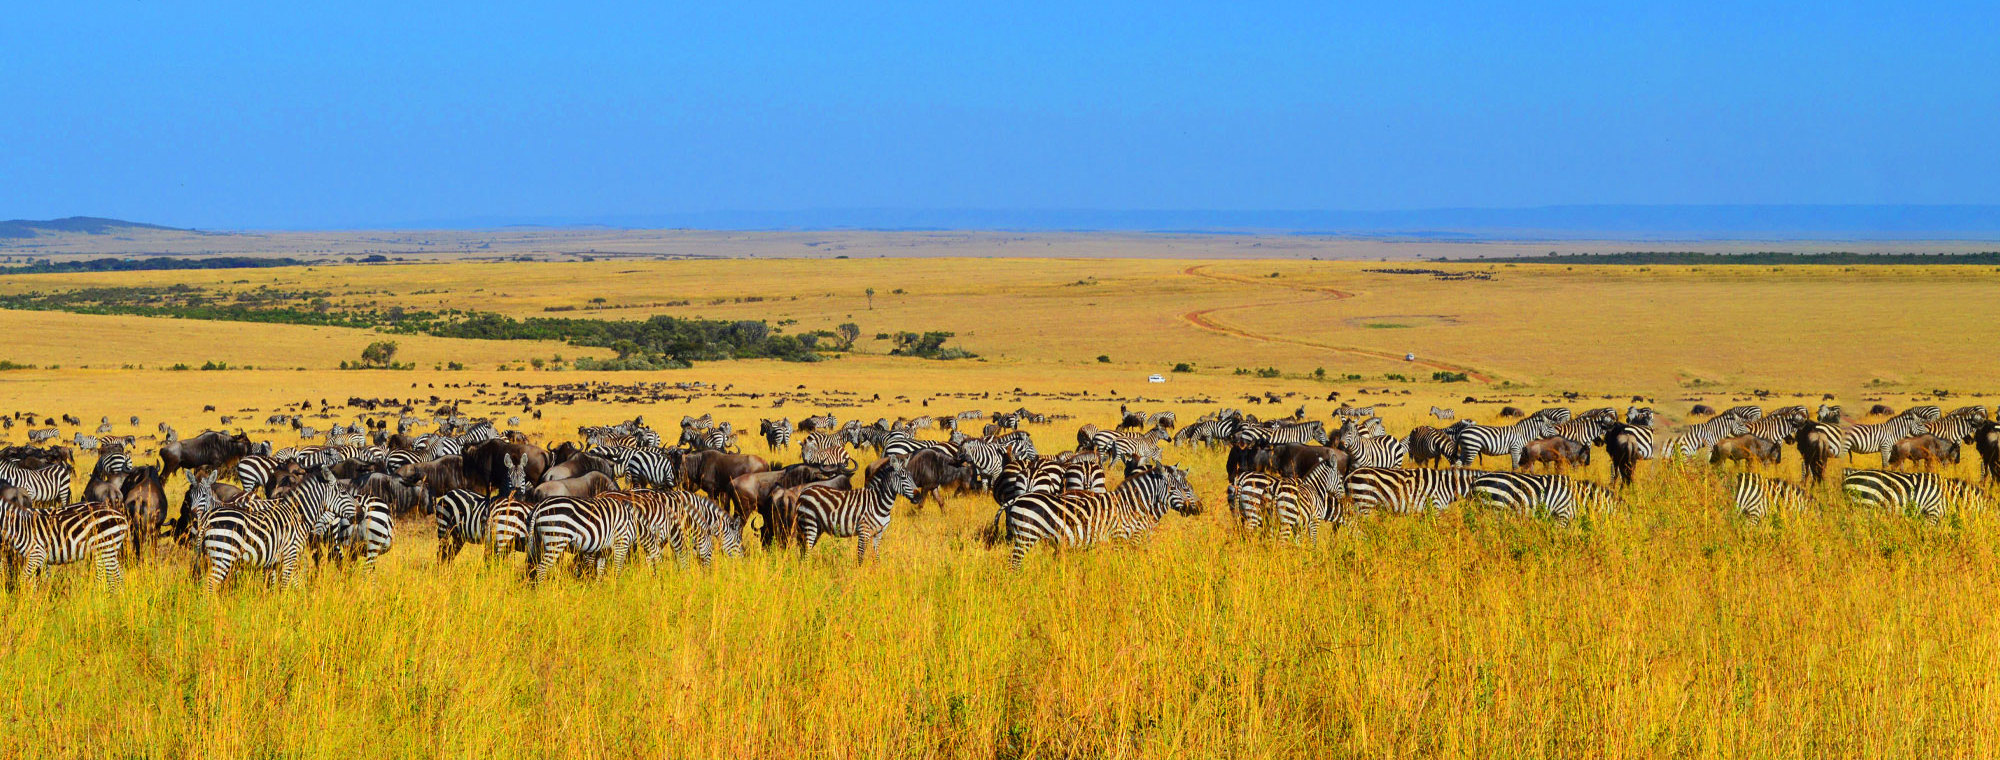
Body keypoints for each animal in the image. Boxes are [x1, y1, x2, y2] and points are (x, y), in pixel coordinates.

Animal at [0, 499, 129, 591]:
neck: (18, 527)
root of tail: (121, 515)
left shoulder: (36, 554)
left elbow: (22, 581)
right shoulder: (41, 560)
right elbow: (39, 584)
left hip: (105, 548)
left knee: (110, 579)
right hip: (109, 551)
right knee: (118, 577)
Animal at [992, 465, 1198, 571]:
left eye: (1187, 488)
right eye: (1176, 489)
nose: (1195, 510)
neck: (1131, 506)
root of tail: (1017, 499)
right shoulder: (1120, 537)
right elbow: (1121, 562)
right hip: (1026, 536)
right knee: (1013, 563)